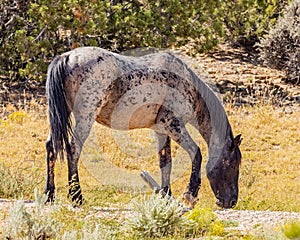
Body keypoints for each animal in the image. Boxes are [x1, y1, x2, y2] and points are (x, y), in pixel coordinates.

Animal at [44, 47, 243, 208]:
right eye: (232, 163)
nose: (231, 201)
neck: (188, 87)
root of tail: (67, 57)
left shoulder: (161, 130)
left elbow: (165, 162)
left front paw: (166, 196)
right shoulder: (173, 125)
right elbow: (196, 153)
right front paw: (189, 195)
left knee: (51, 147)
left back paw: (49, 195)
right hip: (85, 118)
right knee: (73, 149)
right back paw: (76, 197)